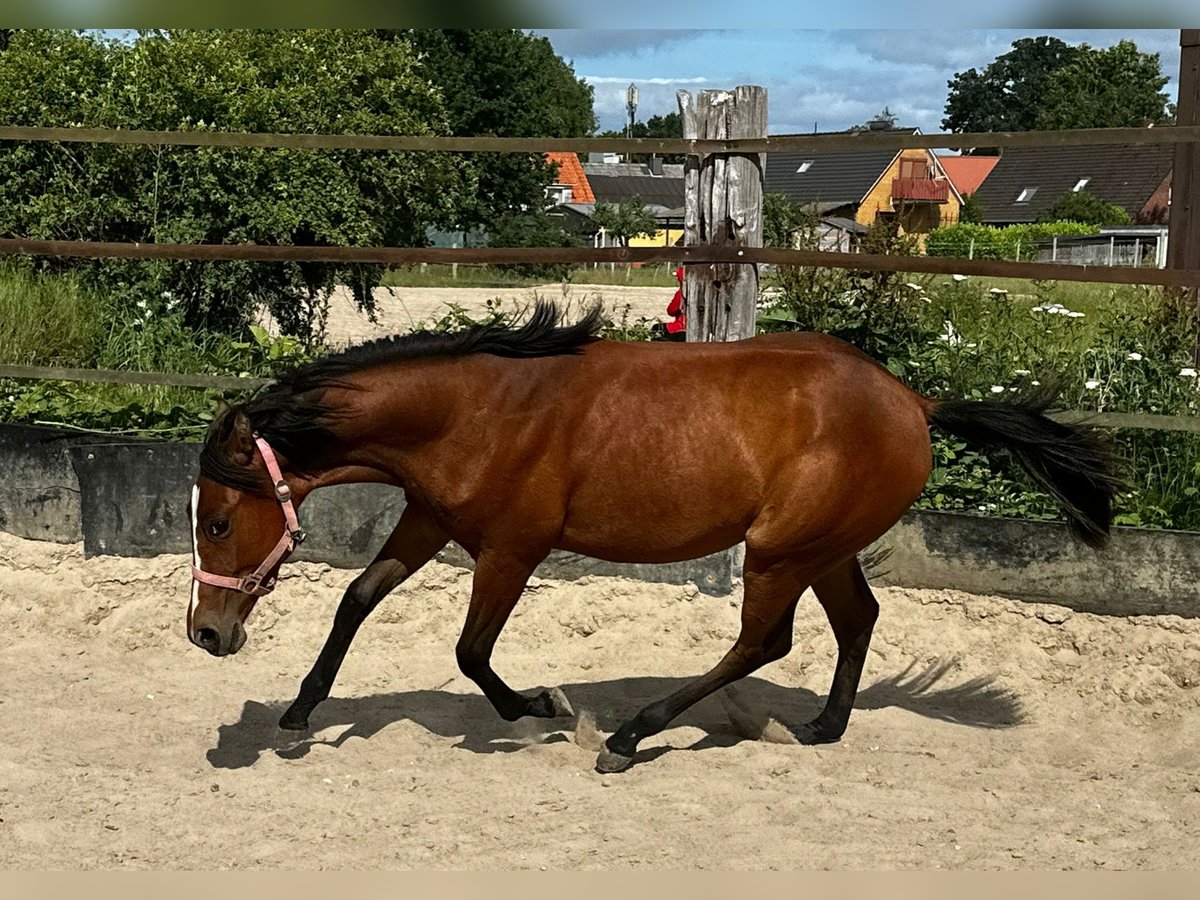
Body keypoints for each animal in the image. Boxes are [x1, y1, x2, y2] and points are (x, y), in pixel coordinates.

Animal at [187, 302, 1122, 773]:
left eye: (219, 519)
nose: (207, 634)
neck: (478, 410)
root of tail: (916, 402)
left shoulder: (512, 550)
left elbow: (470, 651)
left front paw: (543, 709)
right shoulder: (431, 520)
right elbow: (356, 600)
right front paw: (298, 715)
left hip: (782, 548)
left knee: (765, 641)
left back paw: (632, 737)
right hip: (824, 548)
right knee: (856, 620)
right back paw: (821, 727)